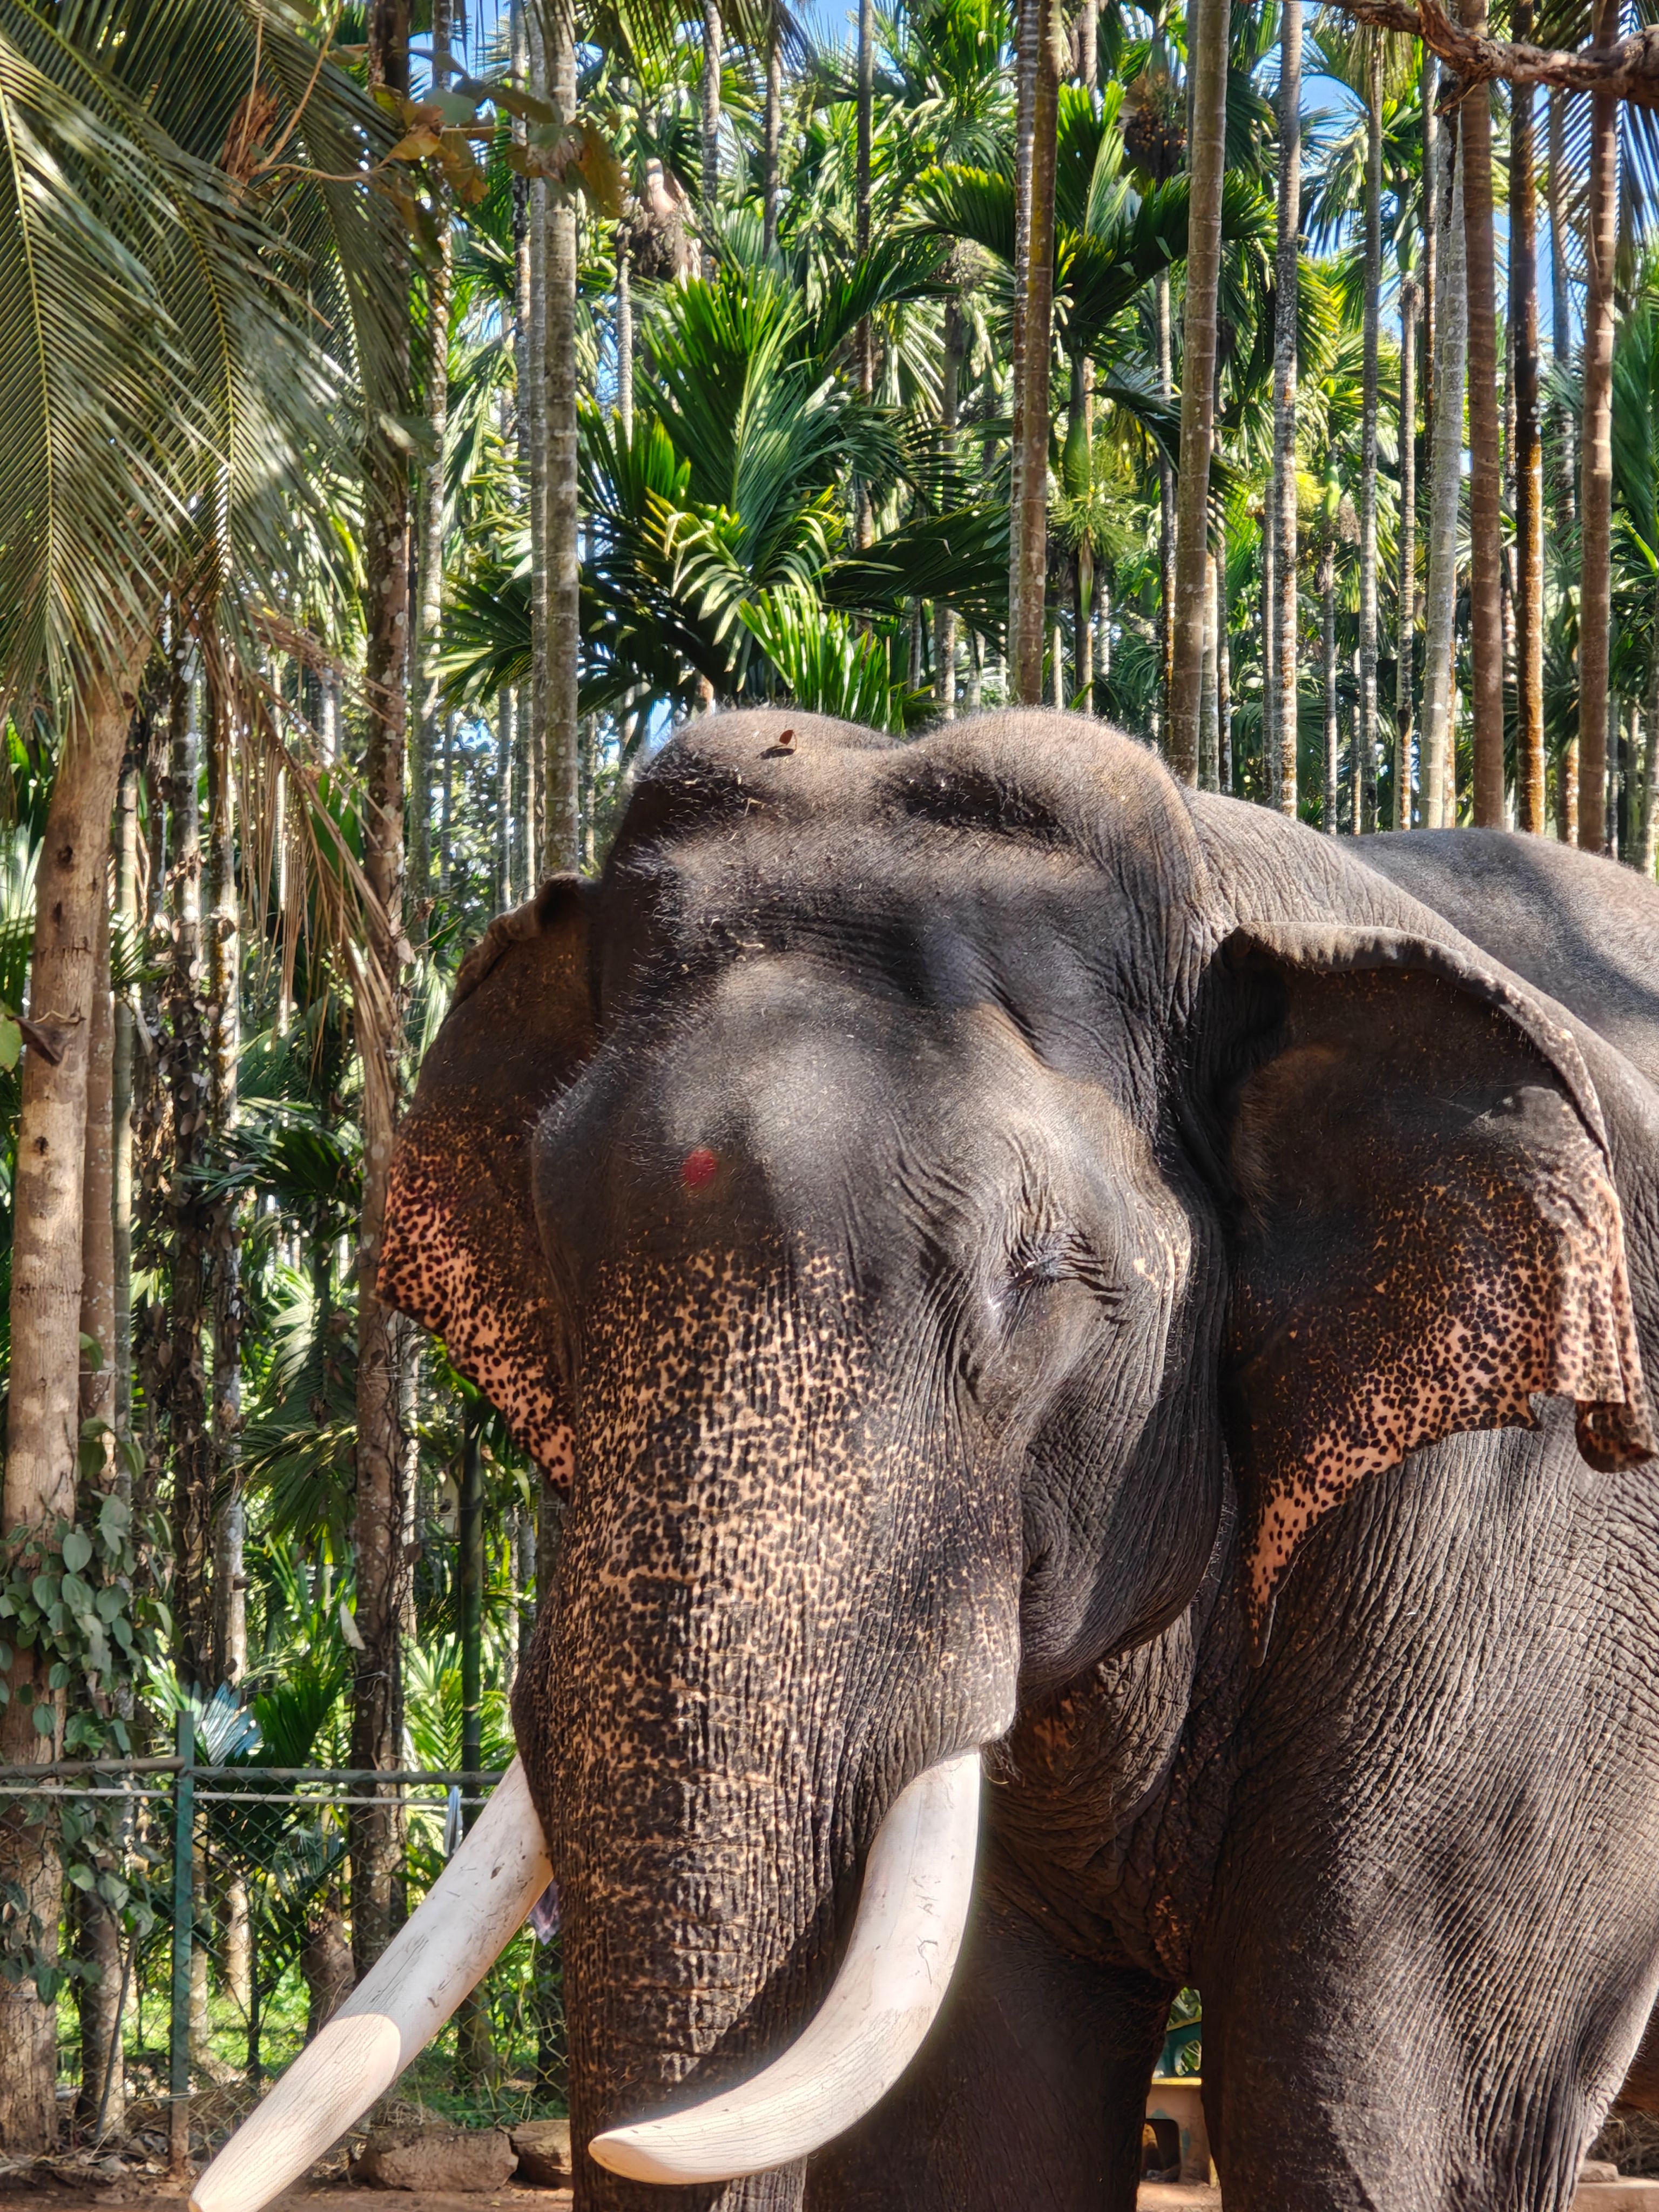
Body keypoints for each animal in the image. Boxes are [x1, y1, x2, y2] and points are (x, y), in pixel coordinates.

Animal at [195, 709, 1659, 2212]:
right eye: (550, 1251)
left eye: (1032, 1273)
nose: (601, 2139)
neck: (1218, 869)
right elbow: (973, 2124)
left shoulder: (1533, 1544)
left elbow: (1381, 2129)